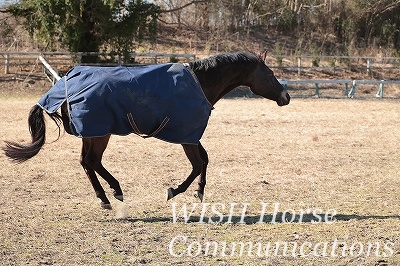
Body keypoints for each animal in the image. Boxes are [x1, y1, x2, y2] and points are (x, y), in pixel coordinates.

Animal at [3, 51, 290, 210]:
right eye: (270, 74)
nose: (286, 97)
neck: (199, 82)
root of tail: (65, 82)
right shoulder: (187, 136)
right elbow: (198, 163)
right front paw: (176, 190)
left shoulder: (191, 135)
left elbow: (205, 160)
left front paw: (199, 191)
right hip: (99, 133)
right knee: (90, 161)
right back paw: (110, 194)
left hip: (95, 133)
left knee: (89, 162)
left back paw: (110, 194)